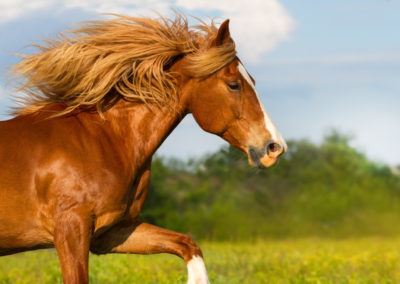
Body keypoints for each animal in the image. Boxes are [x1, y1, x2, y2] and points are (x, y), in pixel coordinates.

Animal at [0, 14, 288, 282]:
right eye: (234, 84)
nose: (274, 147)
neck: (107, 138)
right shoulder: (71, 229)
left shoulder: (112, 232)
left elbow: (188, 244)